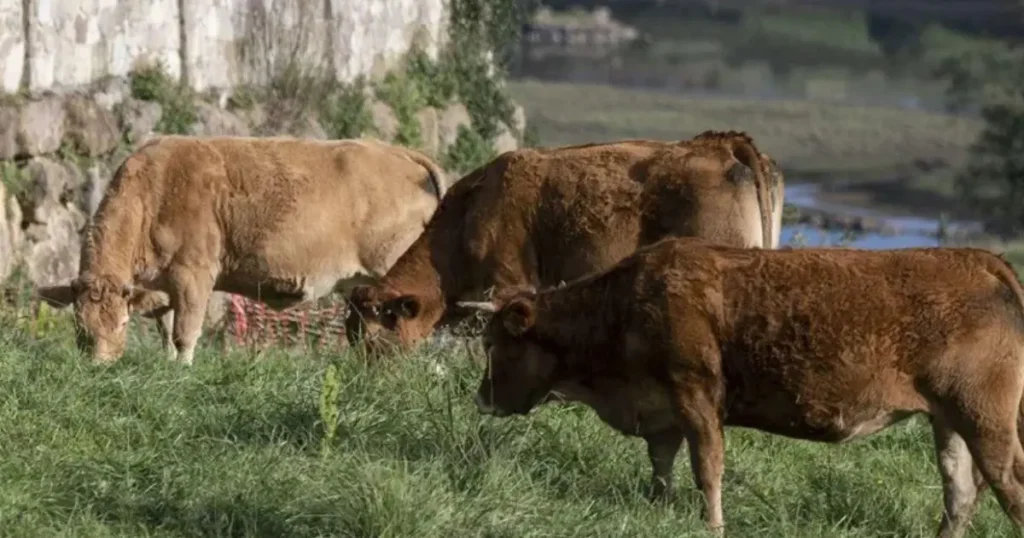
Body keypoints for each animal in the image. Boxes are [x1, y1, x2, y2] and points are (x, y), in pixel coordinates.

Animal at [36, 134, 448, 365]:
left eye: (121, 324)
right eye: (79, 326)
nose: (99, 367)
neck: (156, 192)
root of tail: (397, 153)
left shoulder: (194, 275)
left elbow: (185, 332)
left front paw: (180, 372)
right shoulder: (160, 285)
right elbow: (165, 330)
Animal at [459, 237, 1024, 538]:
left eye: (495, 344)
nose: (481, 400)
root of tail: (976, 258)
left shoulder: (696, 396)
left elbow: (707, 470)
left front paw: (712, 525)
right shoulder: (662, 411)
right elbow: (661, 466)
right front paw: (658, 508)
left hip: (985, 418)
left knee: (1007, 483)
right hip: (949, 420)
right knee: (960, 491)